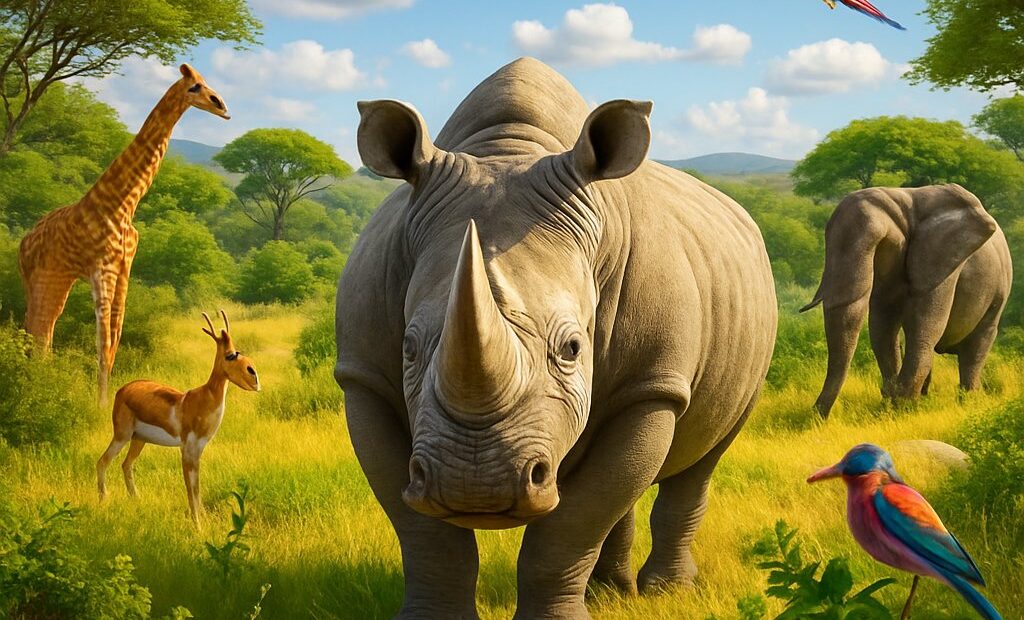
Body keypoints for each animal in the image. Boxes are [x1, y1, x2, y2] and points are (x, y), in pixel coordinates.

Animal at [335, 58, 777, 619]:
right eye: (408, 349)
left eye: (572, 350)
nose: (475, 486)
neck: (510, 149)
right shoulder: (363, 375)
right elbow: (422, 532)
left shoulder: (652, 383)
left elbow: (574, 525)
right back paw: (612, 593)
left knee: (701, 461)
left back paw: (666, 592)